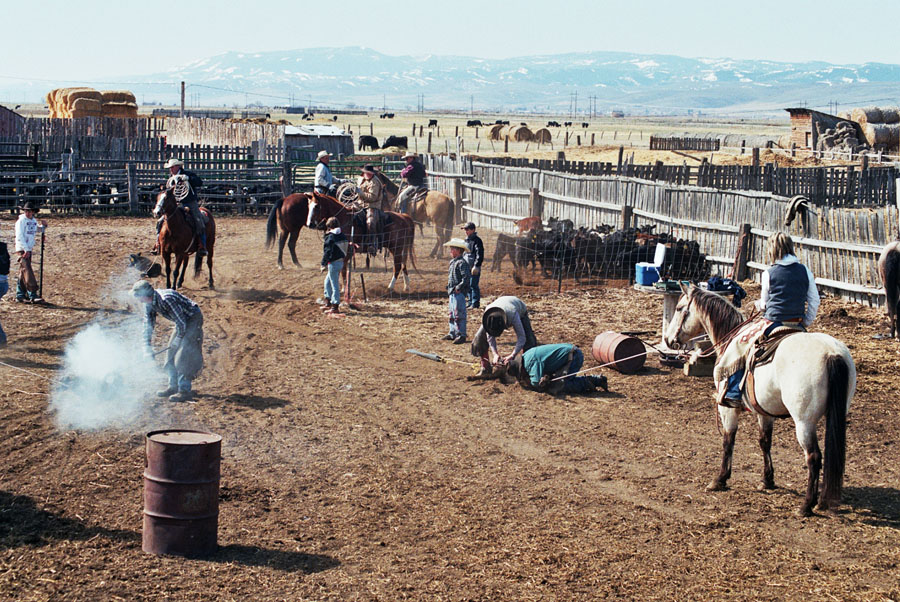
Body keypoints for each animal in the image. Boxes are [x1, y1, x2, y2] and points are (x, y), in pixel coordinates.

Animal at [664, 284, 856, 512]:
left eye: (680, 308)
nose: (668, 340)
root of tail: (831, 354)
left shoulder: (727, 409)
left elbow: (728, 440)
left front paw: (720, 479)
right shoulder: (764, 412)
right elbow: (765, 441)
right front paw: (767, 480)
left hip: (804, 421)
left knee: (813, 457)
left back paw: (806, 506)